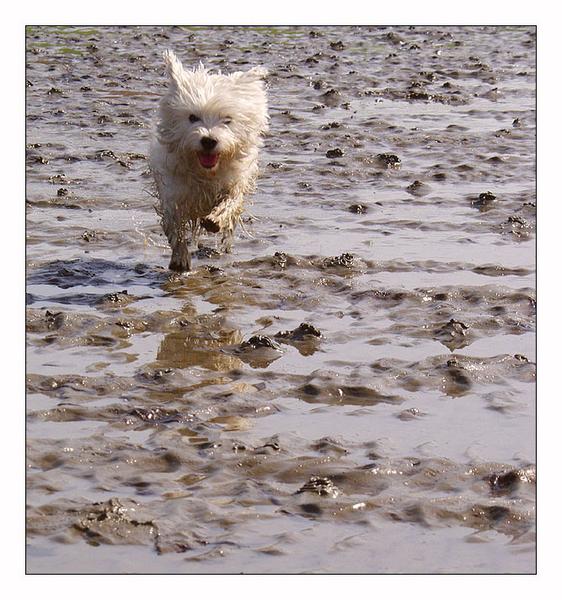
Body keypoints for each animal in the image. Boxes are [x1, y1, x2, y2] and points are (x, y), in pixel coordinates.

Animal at [150, 51, 268, 272]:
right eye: (192, 117)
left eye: (227, 120)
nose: (208, 140)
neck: (205, 172)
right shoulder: (173, 192)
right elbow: (175, 226)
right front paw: (180, 258)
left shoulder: (235, 183)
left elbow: (229, 202)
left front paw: (214, 219)